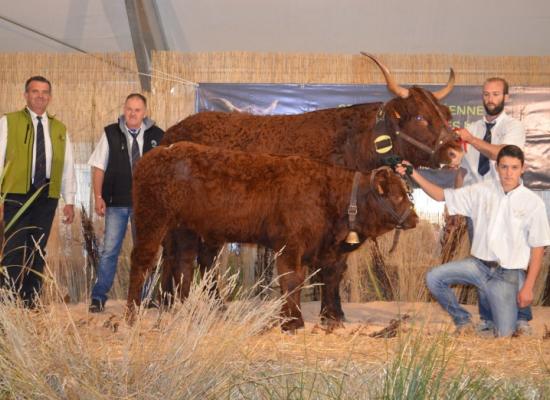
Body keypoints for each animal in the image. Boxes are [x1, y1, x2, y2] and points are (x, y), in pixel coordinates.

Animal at [127, 142, 420, 330]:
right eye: (396, 196)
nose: (415, 219)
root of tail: (158, 153)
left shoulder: (326, 251)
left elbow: (327, 279)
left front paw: (327, 319)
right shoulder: (290, 246)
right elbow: (292, 279)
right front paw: (291, 322)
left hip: (185, 230)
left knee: (183, 267)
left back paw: (187, 311)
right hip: (152, 220)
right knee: (143, 261)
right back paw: (132, 315)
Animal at [156, 53, 466, 324]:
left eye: (446, 115)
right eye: (420, 118)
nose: (456, 151)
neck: (353, 145)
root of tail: (172, 132)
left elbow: (336, 269)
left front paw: (335, 314)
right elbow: (322, 270)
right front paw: (325, 315)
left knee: (202, 260)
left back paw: (212, 307)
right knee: (179, 258)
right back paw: (172, 305)